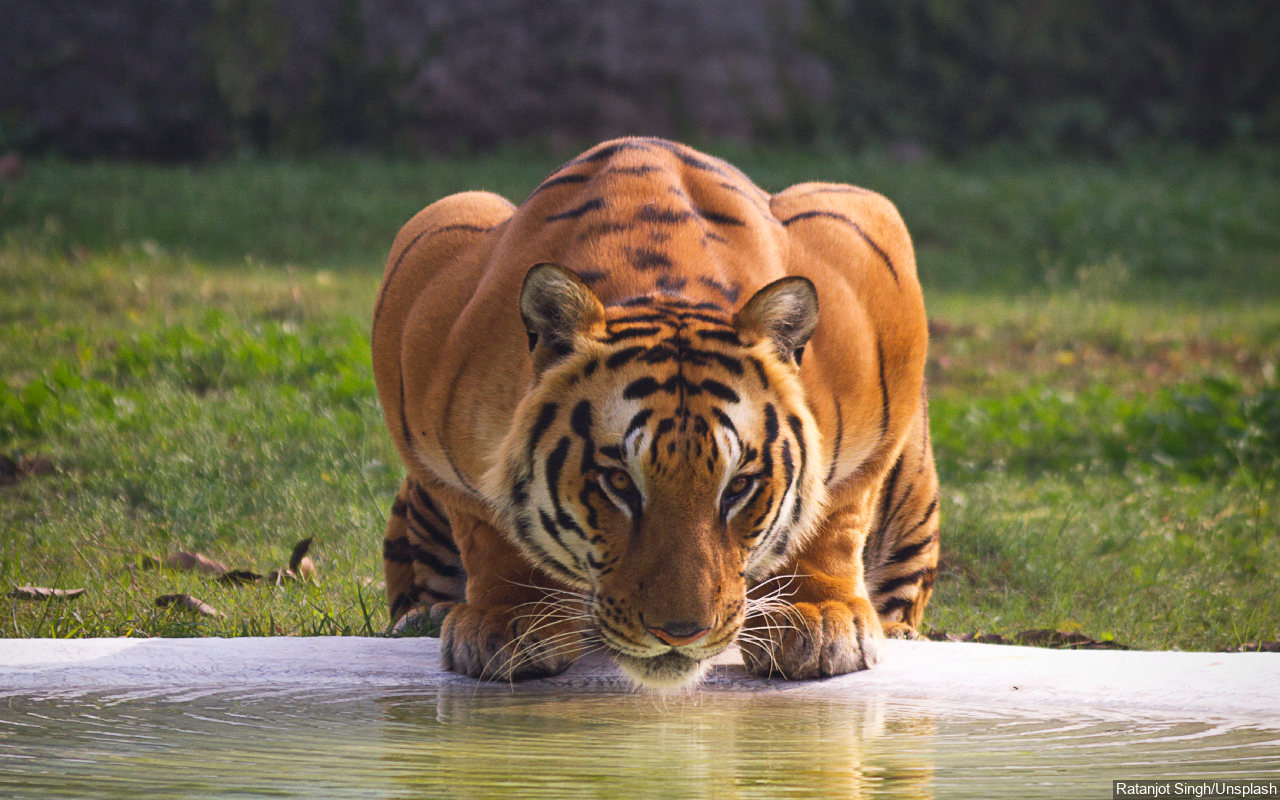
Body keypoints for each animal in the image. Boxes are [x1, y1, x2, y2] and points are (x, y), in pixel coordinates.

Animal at [371, 136, 942, 686]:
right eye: (619, 483)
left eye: (739, 486)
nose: (681, 634)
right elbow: (485, 525)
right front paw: (508, 620)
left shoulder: (871, 256)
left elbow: (838, 509)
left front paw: (818, 618)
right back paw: (425, 616)